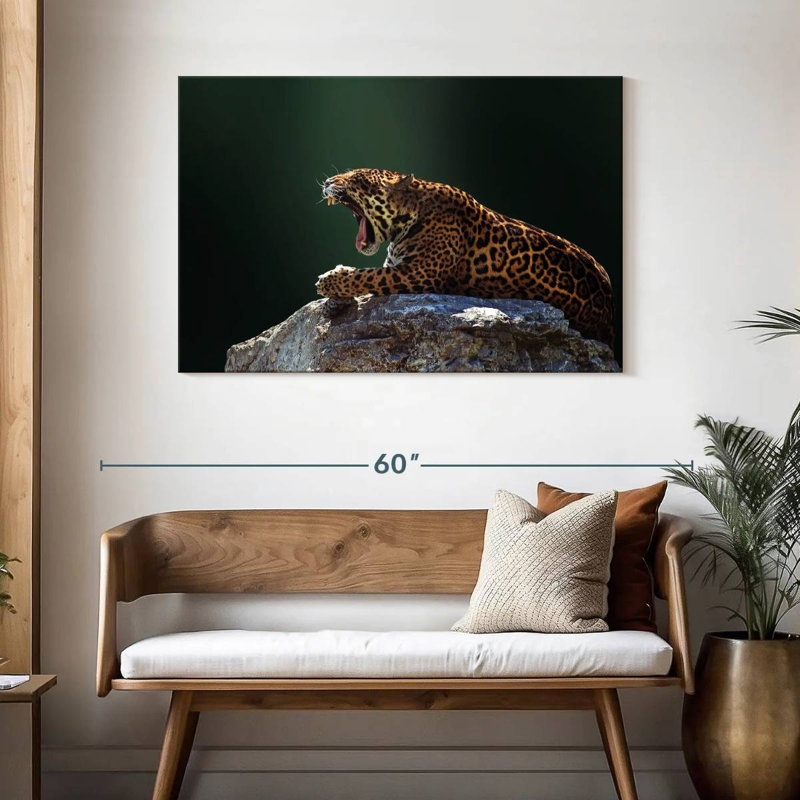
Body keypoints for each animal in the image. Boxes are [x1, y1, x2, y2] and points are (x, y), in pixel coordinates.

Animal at [317, 169, 615, 347]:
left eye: (355, 179)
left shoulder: (417, 274)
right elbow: (366, 276)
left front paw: (330, 281)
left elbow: (368, 276)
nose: (328, 182)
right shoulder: (398, 266)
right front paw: (334, 298)